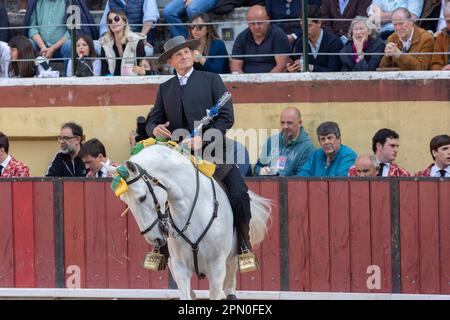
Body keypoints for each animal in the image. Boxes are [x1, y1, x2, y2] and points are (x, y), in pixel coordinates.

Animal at [115, 142, 270, 300]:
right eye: (124, 201)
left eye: (142, 197)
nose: (155, 239)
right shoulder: (180, 268)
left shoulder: (217, 268)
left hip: (232, 261)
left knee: (229, 286)